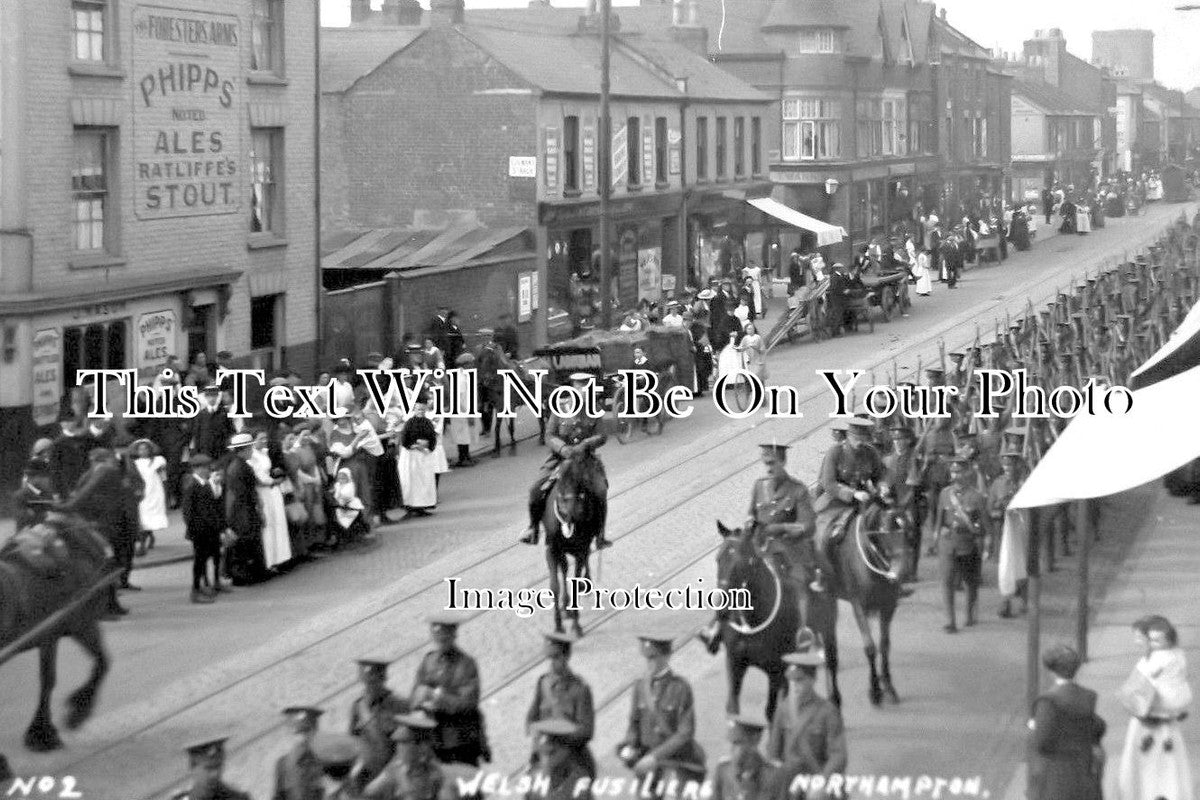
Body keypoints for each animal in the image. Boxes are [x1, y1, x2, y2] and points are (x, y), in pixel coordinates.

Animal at [544, 453, 604, 633]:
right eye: (559, 483)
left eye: (580, 483)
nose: (572, 514)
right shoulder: (551, 550)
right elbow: (554, 585)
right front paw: (558, 625)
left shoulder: (580, 549)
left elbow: (576, 580)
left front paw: (576, 626)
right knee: (564, 568)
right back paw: (566, 607)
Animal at [710, 501, 902, 714]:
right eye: (718, 559)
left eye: (746, 561)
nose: (723, 610)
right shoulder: (735, 665)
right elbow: (733, 707)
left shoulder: (775, 668)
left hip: (827, 628)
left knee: (831, 661)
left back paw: (834, 699)